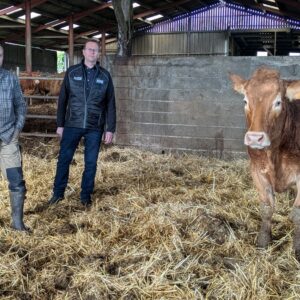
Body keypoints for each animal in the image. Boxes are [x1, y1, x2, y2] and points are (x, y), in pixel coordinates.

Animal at [231, 68, 300, 260]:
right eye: (245, 100)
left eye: (278, 102)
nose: (255, 138)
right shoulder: (257, 171)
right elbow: (266, 208)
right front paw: (263, 242)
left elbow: (297, 214)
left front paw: (297, 248)